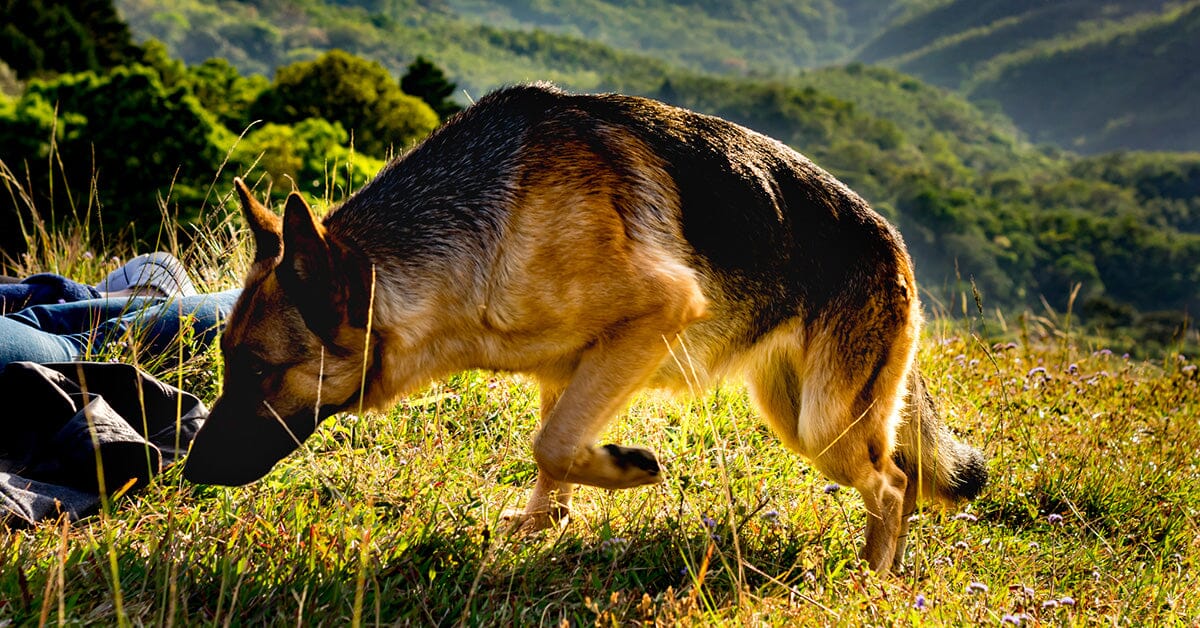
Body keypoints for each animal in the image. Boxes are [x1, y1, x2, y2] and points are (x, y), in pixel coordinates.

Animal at [184, 83, 984, 573]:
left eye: (260, 371)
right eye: (228, 362)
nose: (187, 472)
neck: (486, 225)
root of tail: (894, 245)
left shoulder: (657, 316)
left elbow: (554, 444)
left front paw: (623, 470)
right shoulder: (564, 370)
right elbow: (553, 450)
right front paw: (545, 526)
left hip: (824, 423)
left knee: (890, 483)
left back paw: (872, 577)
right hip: (792, 409)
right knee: (899, 475)